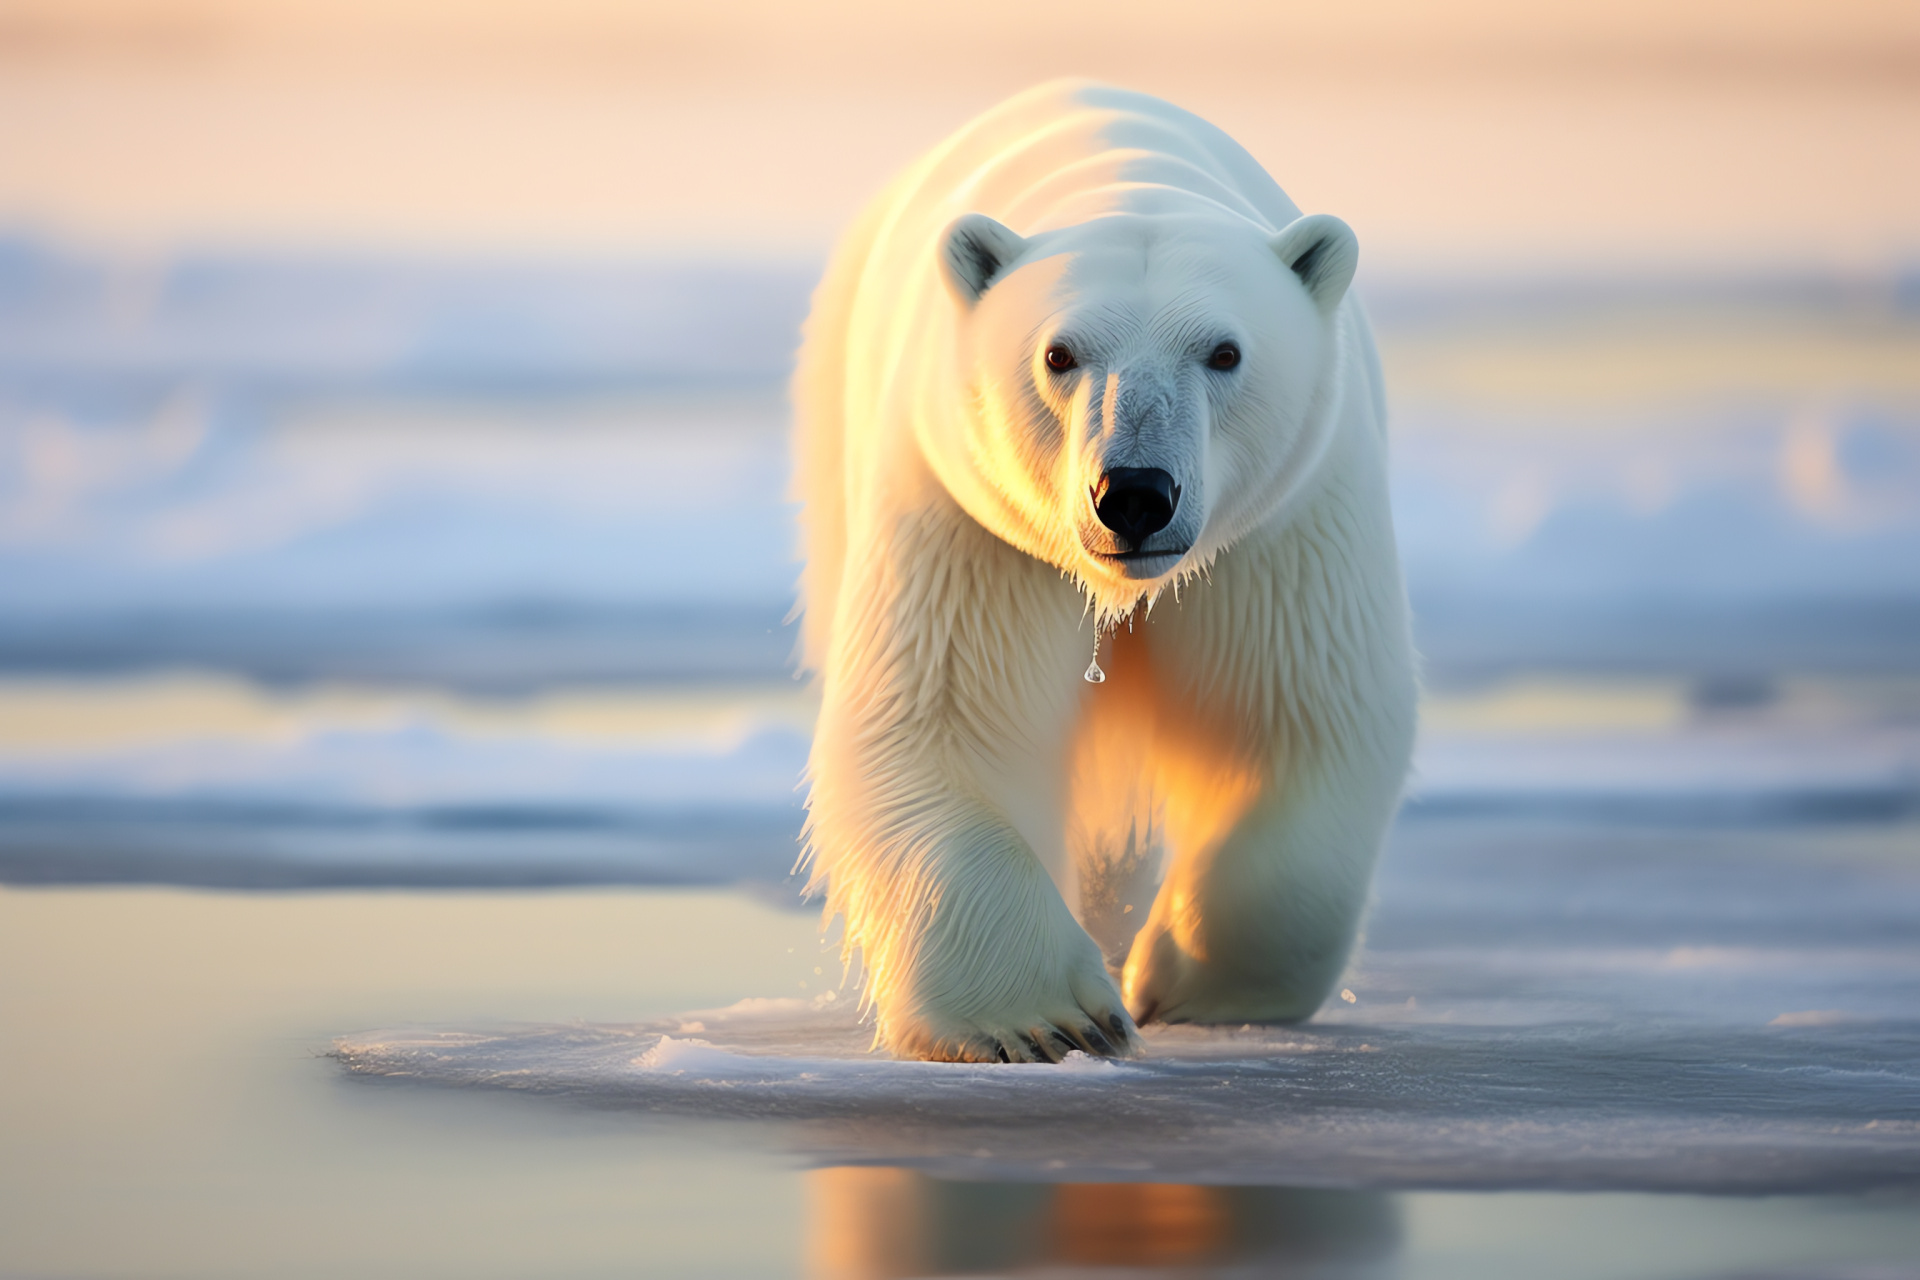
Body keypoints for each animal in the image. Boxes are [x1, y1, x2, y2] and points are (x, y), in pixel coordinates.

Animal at [787, 77, 1420, 1059]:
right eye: (1059, 353)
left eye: (1225, 351)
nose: (1134, 493)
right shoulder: (973, 526)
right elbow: (943, 722)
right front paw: (1051, 1019)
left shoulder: (1285, 527)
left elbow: (1292, 719)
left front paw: (1186, 981)